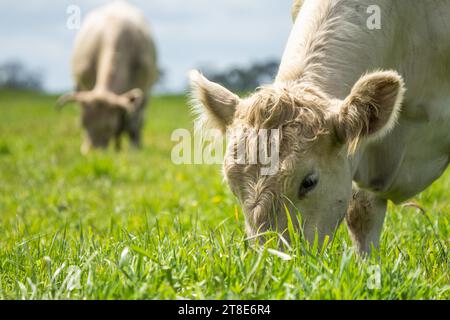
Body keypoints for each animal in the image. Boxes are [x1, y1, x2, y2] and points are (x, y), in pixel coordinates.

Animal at [57, 0, 158, 154]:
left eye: (108, 126)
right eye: (83, 124)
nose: (92, 152)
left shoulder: (142, 90)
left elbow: (133, 123)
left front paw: (133, 149)